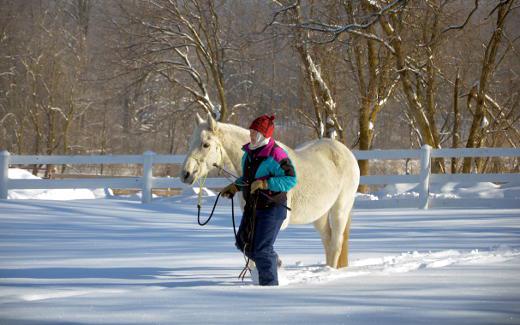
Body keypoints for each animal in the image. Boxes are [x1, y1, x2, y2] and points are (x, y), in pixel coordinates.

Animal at [181, 112, 360, 268]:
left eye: (206, 144)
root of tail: (346, 152)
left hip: (340, 210)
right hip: (320, 215)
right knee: (328, 242)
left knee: (336, 244)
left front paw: (277, 264)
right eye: (190, 142)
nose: (185, 174)